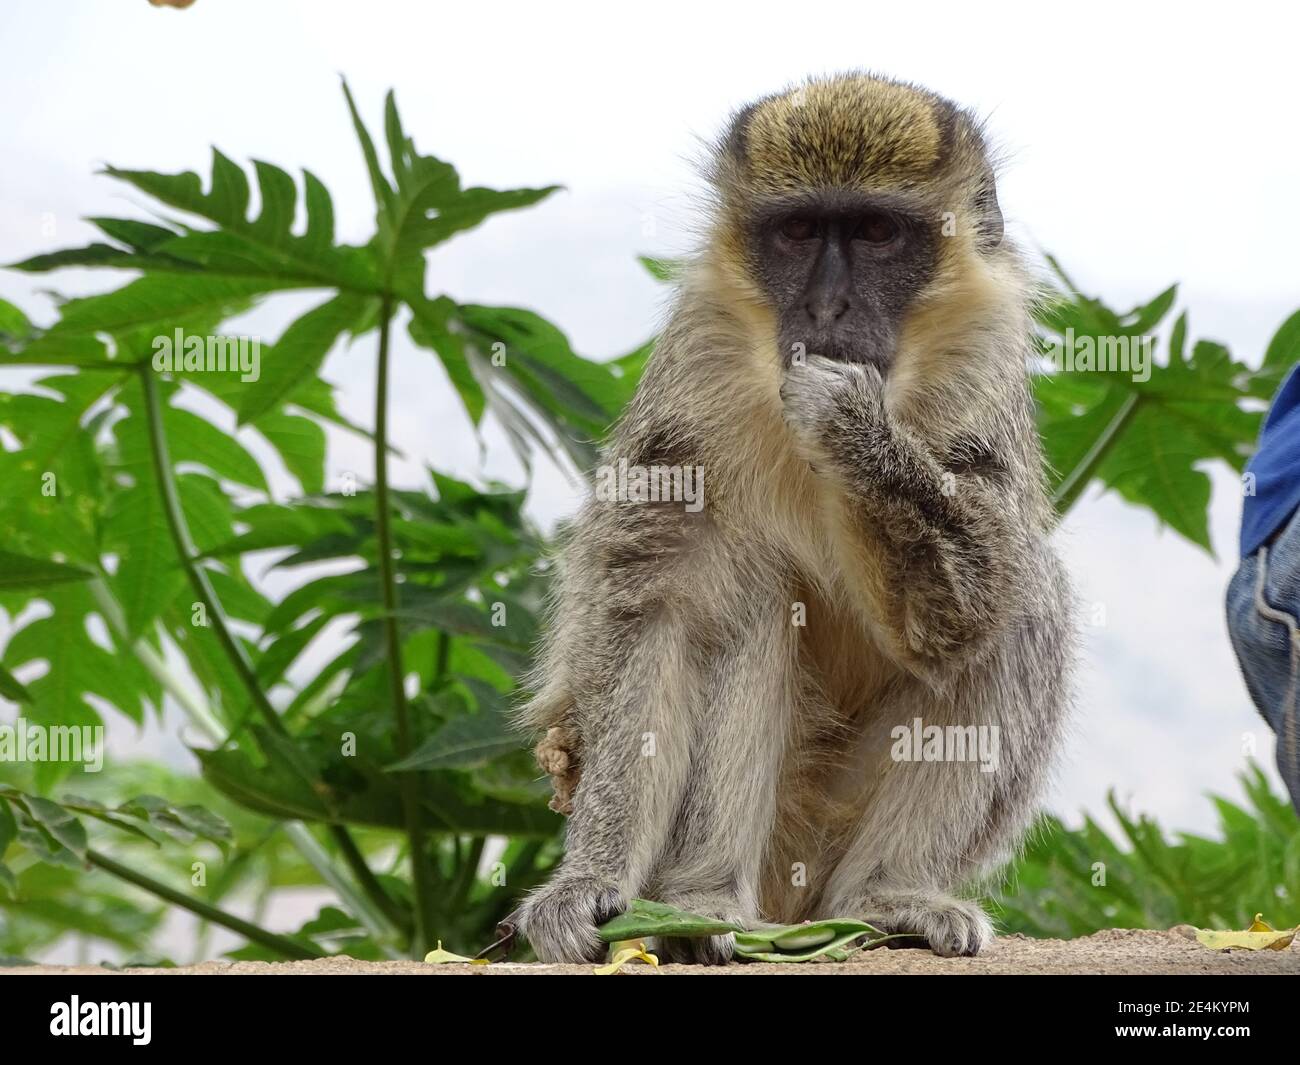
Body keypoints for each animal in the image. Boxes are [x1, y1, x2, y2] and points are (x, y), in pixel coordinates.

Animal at [512, 70, 1071, 962]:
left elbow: (970, 607)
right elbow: (653, 607)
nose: (829, 308)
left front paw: (854, 429)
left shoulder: (984, 361)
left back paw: (890, 895)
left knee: (1026, 605)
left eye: (876, 232)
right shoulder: (694, 374)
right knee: (747, 596)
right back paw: (703, 901)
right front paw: (588, 875)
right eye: (799, 231)